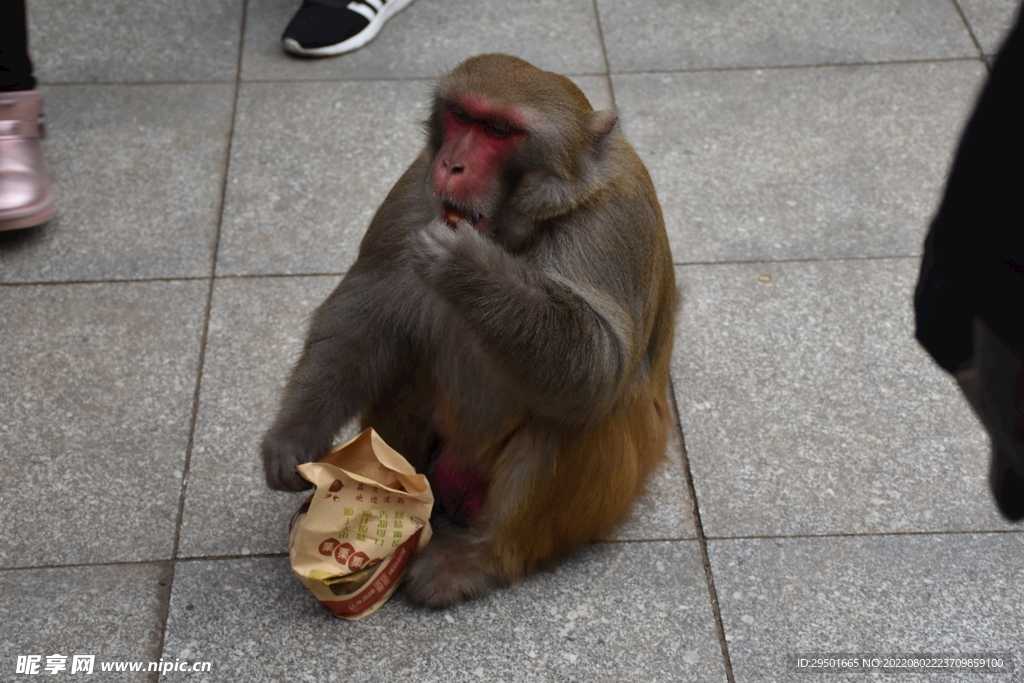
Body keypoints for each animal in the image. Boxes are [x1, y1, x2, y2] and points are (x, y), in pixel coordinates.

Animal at [266, 54, 671, 610]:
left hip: (599, 502)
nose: (452, 166)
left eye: (499, 130)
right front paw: (295, 436)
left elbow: (601, 368)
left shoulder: (617, 217)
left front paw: (469, 266)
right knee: (403, 359)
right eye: (461, 116)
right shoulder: (415, 187)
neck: (513, 227)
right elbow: (362, 318)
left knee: (571, 414)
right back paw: (396, 496)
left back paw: (480, 557)